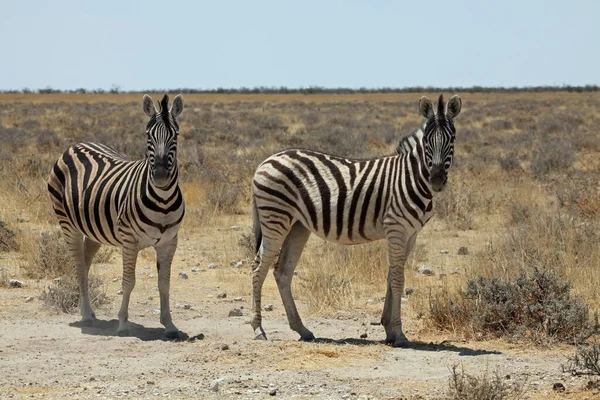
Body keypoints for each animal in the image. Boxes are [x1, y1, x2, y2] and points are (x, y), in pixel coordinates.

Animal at [47, 93, 185, 338]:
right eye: (148, 135)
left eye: (175, 135)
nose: (160, 176)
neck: (163, 200)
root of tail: (75, 145)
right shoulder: (129, 241)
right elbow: (128, 282)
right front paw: (122, 324)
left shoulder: (169, 242)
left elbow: (165, 284)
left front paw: (169, 325)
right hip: (67, 224)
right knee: (79, 266)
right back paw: (85, 316)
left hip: (93, 230)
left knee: (85, 263)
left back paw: (89, 311)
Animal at [251, 94, 462, 346]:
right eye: (427, 142)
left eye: (452, 139)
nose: (437, 180)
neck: (410, 177)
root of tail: (266, 160)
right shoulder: (396, 228)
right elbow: (398, 279)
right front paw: (399, 334)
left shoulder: (411, 234)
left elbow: (392, 275)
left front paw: (388, 328)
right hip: (275, 217)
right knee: (258, 269)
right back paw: (258, 329)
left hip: (297, 226)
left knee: (282, 272)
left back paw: (302, 329)